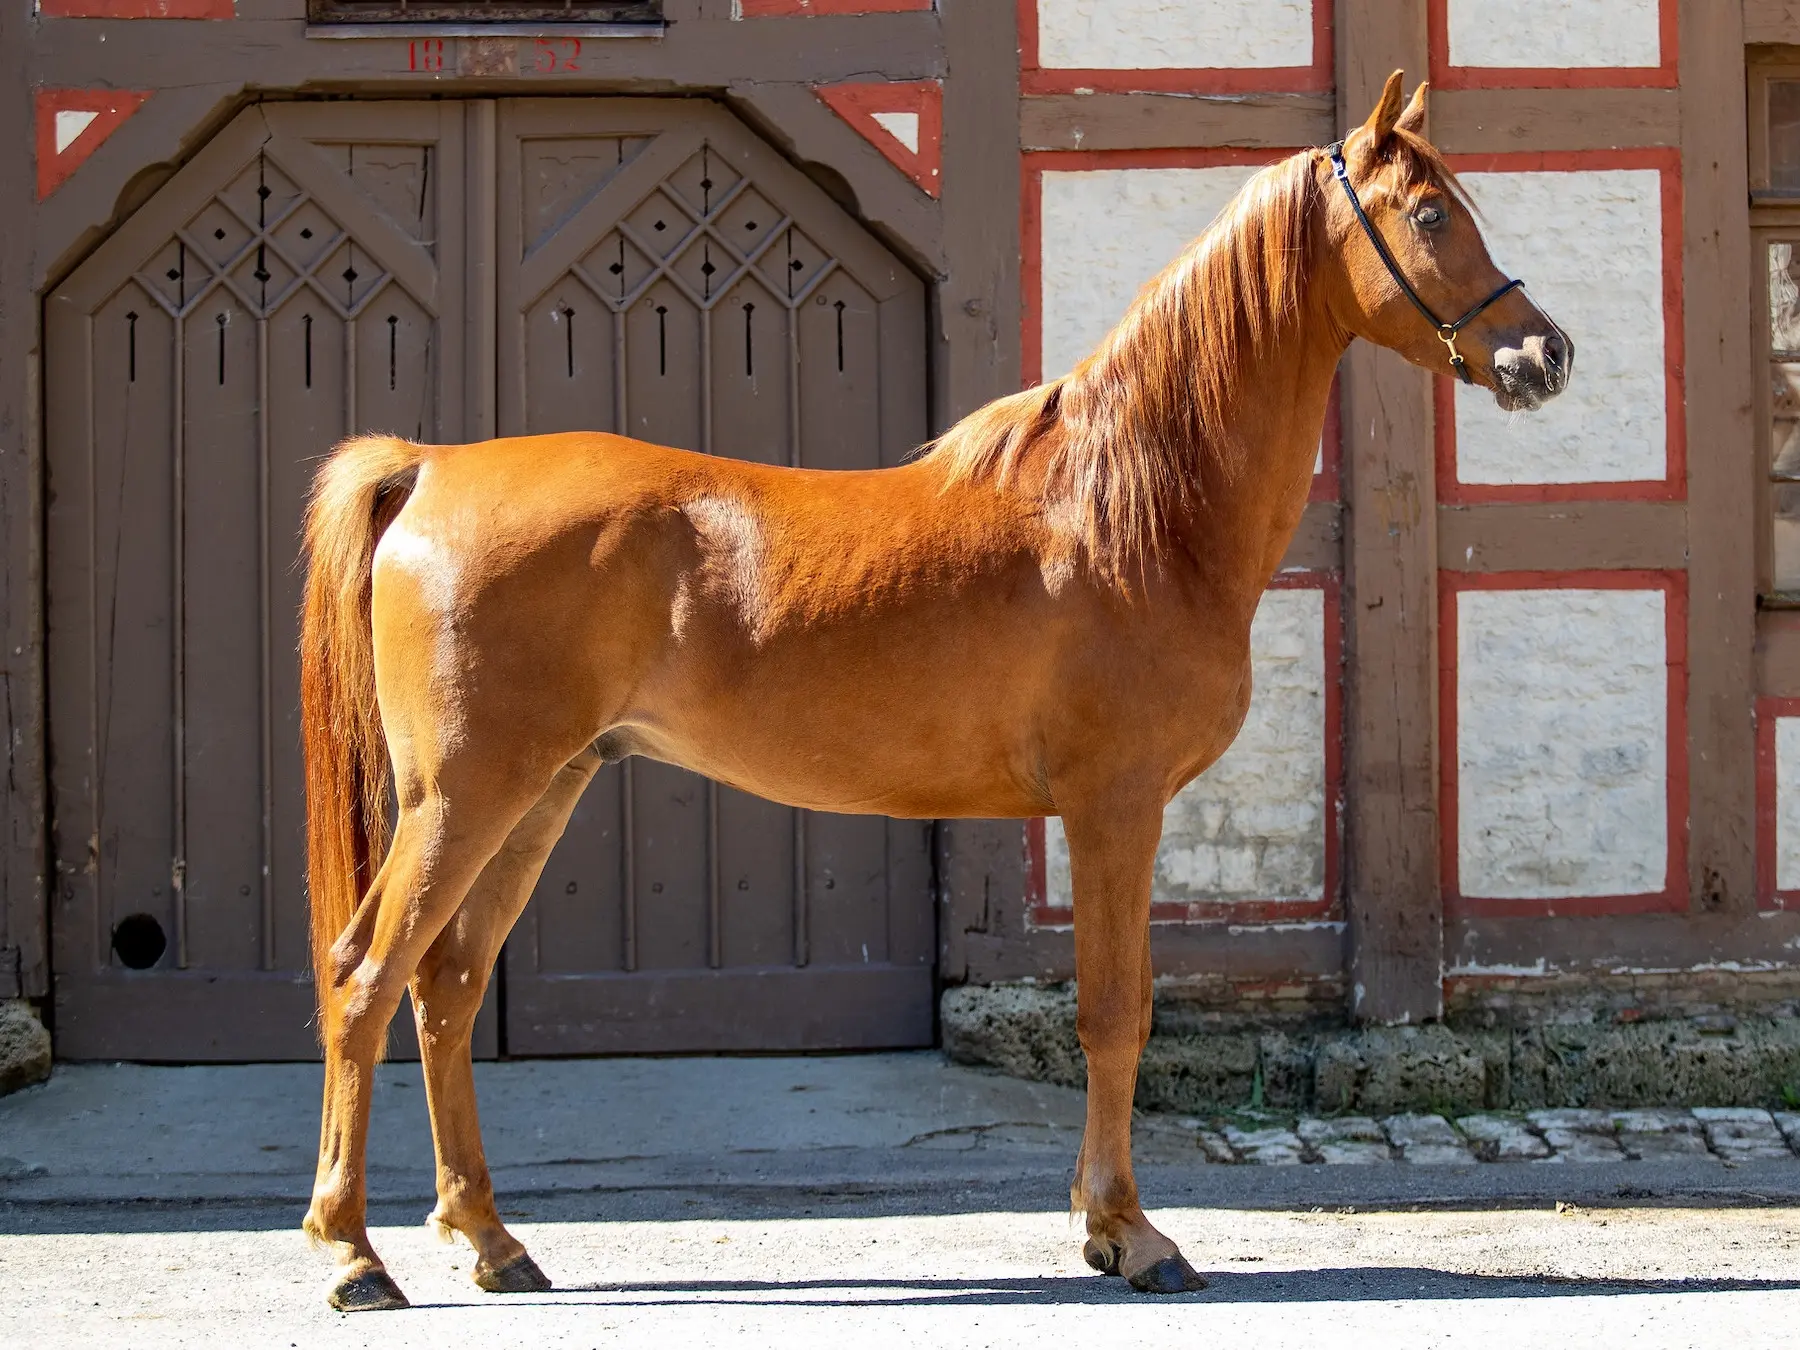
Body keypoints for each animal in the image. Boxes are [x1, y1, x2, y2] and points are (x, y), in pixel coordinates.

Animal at [302, 76, 1569, 1310]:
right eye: (1431, 213)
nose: (1544, 353)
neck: (1133, 507)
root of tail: (429, 469)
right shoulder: (1115, 810)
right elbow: (1116, 1014)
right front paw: (1128, 1233)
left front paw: (1105, 1225)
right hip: (466, 797)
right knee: (366, 977)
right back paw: (353, 1255)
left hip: (542, 792)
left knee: (447, 985)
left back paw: (490, 1240)